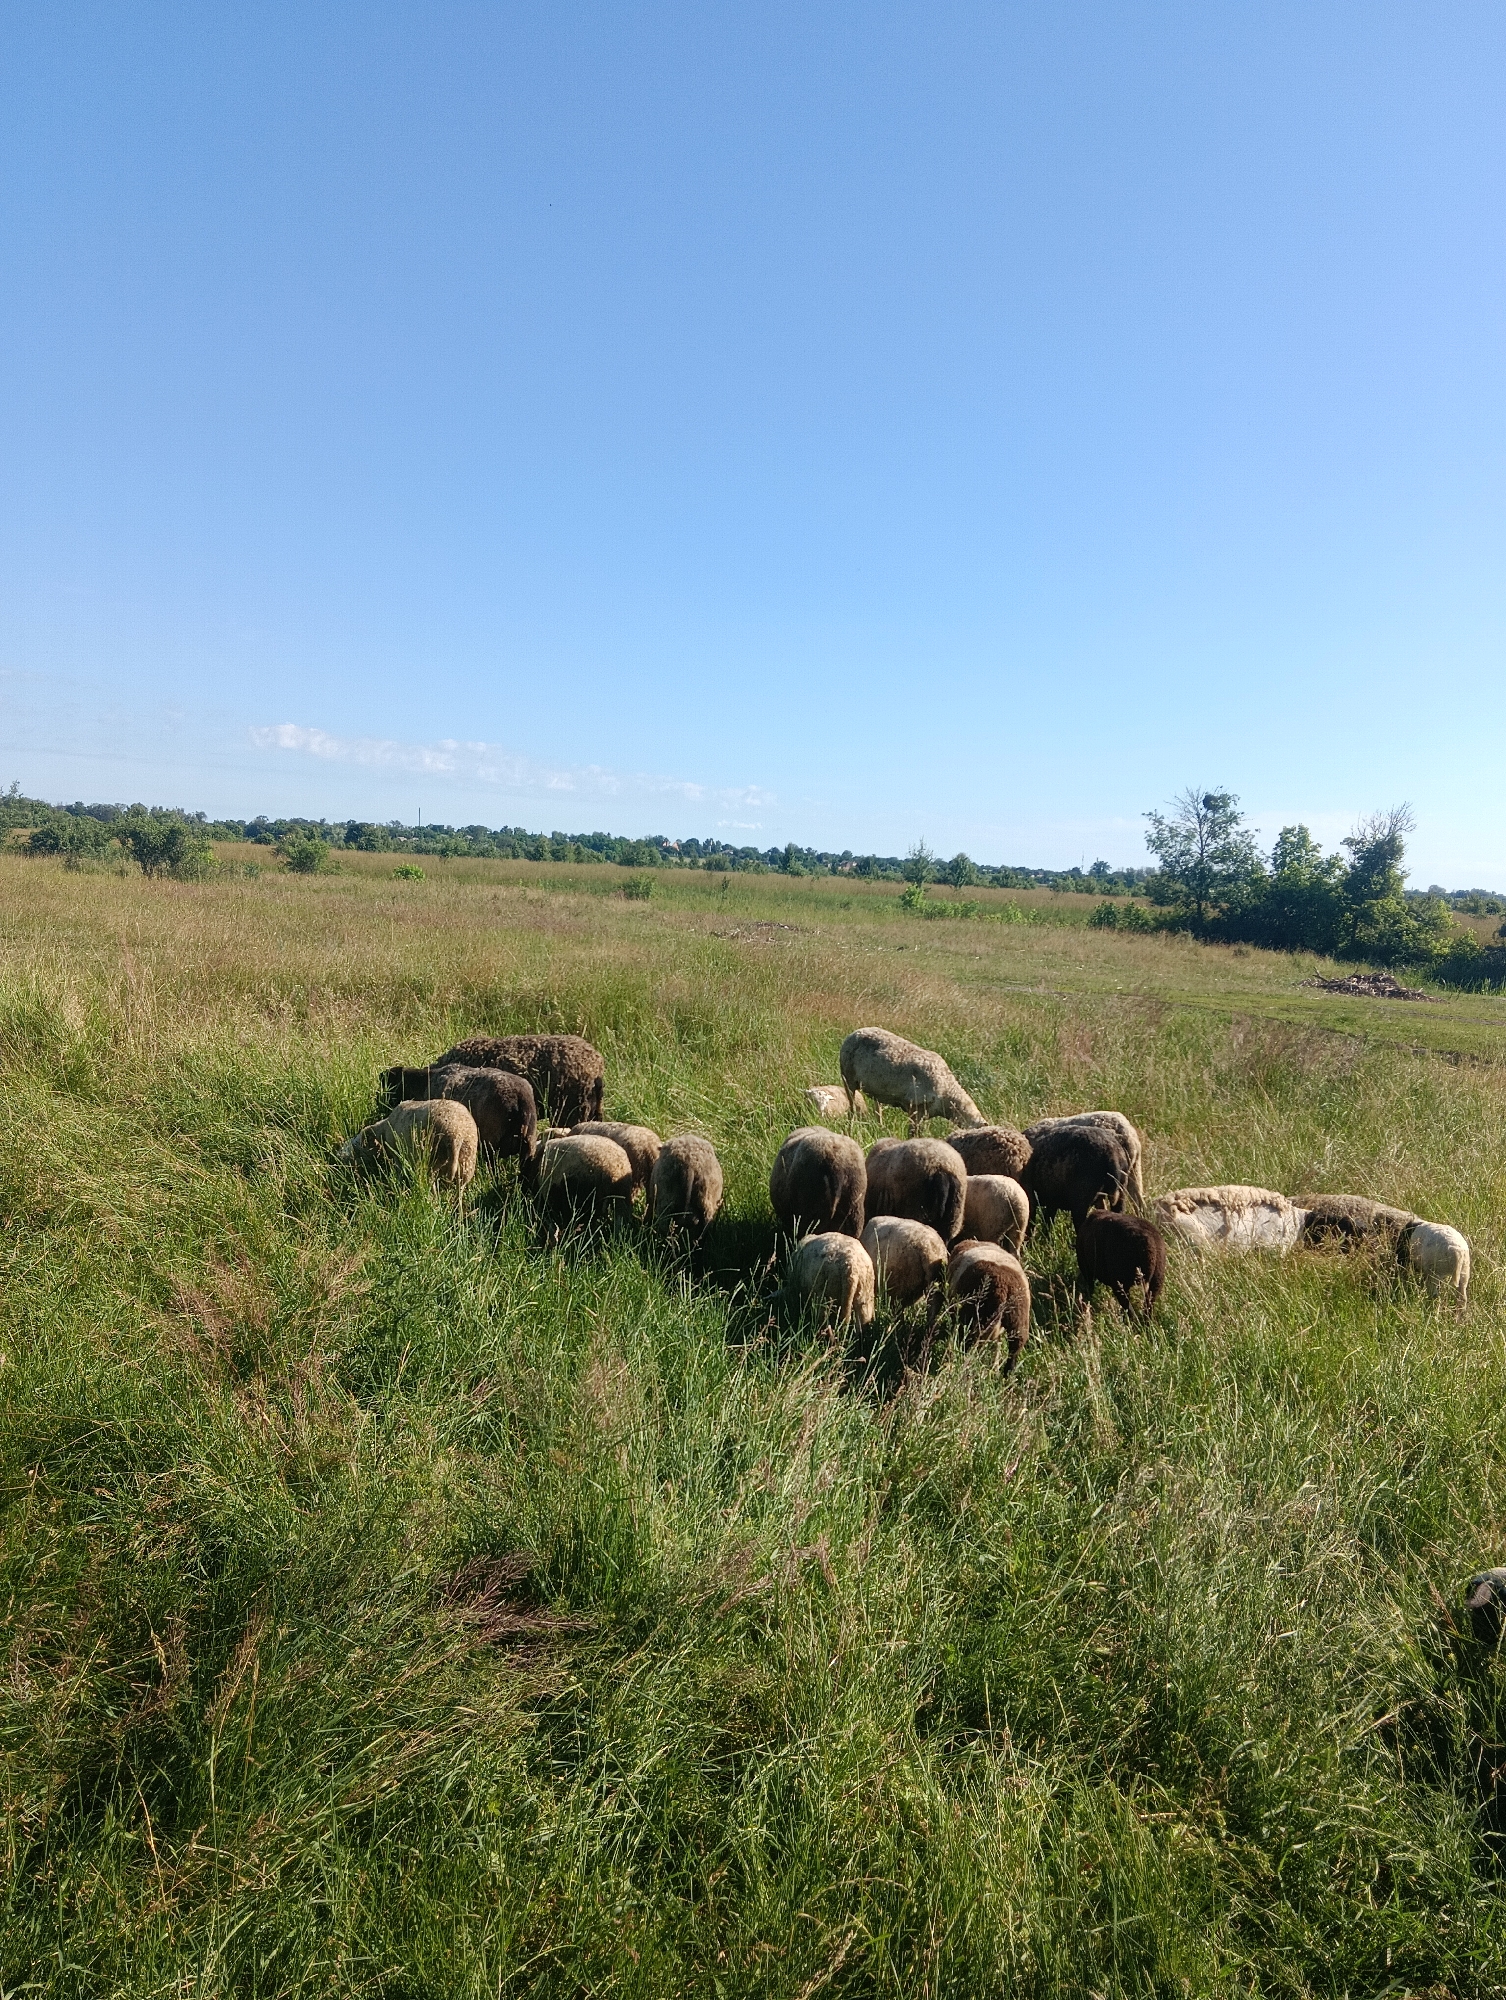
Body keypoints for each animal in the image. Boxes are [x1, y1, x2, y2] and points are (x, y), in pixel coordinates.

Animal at [340, 1098, 479, 1196]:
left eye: (358, 1143)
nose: (340, 1155)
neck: (383, 1131)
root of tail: (455, 1135)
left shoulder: (398, 1155)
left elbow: (399, 1171)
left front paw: (398, 1184)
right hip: (466, 1163)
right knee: (459, 1190)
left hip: (433, 1159)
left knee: (432, 1184)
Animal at [379, 1063, 537, 1162]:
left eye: (390, 1084)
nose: (378, 1103)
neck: (424, 1083)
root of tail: (520, 1099)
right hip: (527, 1148)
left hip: (491, 1143)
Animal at [839, 1027, 985, 1132]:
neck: (947, 1093)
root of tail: (855, 1032)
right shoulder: (914, 1106)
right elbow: (913, 1133)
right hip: (848, 1078)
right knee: (852, 1108)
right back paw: (851, 1127)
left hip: (875, 1089)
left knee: (877, 1109)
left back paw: (880, 1127)